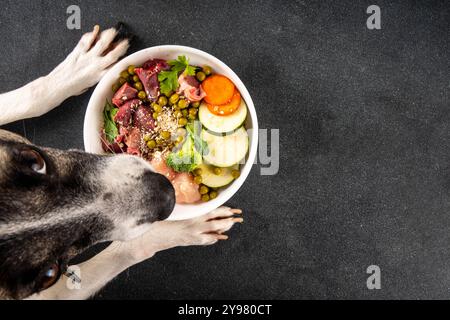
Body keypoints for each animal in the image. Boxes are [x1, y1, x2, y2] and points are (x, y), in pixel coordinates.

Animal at [0, 25, 244, 300]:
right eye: (48, 275)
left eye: (35, 160)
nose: (165, 193)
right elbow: (131, 246)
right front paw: (188, 227)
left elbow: (30, 96)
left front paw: (83, 66)